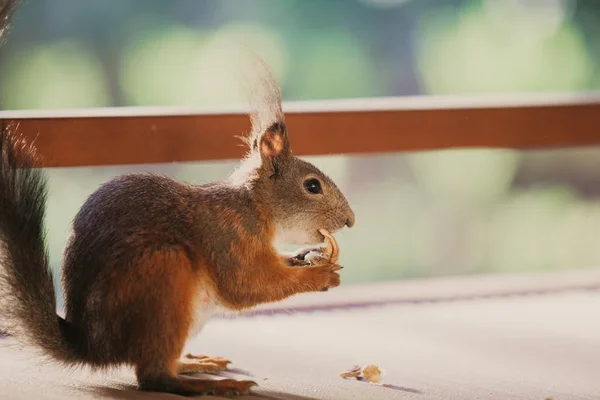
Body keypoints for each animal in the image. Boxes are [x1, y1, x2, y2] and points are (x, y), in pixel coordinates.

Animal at [0, 0, 356, 396]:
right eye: (312, 186)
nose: (350, 220)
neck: (254, 207)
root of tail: (93, 346)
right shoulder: (227, 236)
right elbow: (247, 285)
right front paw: (320, 275)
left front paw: (305, 257)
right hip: (164, 275)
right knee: (152, 376)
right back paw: (205, 384)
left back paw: (195, 364)